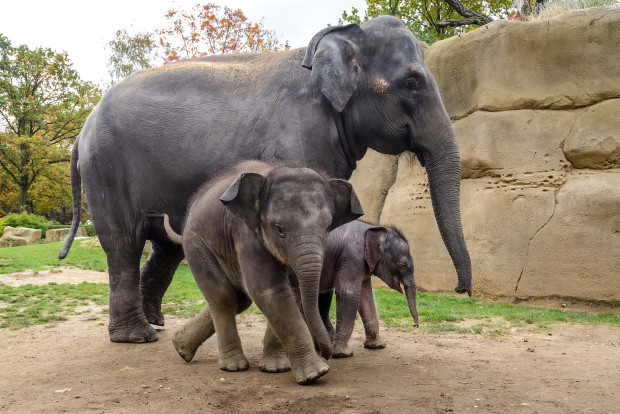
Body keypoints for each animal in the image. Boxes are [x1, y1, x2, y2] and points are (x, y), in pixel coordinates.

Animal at [60, 16, 472, 342]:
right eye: (411, 84)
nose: (461, 288)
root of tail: (82, 131)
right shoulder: (299, 138)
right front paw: (317, 337)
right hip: (106, 169)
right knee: (123, 243)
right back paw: (136, 336)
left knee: (164, 247)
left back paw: (155, 323)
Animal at [161, 159, 364, 384]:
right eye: (279, 229)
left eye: (328, 228)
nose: (327, 354)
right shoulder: (247, 234)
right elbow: (270, 291)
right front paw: (315, 374)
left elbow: (291, 292)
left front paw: (276, 368)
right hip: (197, 245)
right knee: (223, 296)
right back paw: (233, 367)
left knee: (239, 299)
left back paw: (181, 347)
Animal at [318, 218, 418, 358]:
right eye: (402, 265)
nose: (415, 325)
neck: (373, 227)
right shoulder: (352, 257)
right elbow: (348, 293)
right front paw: (343, 354)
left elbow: (365, 296)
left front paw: (377, 346)